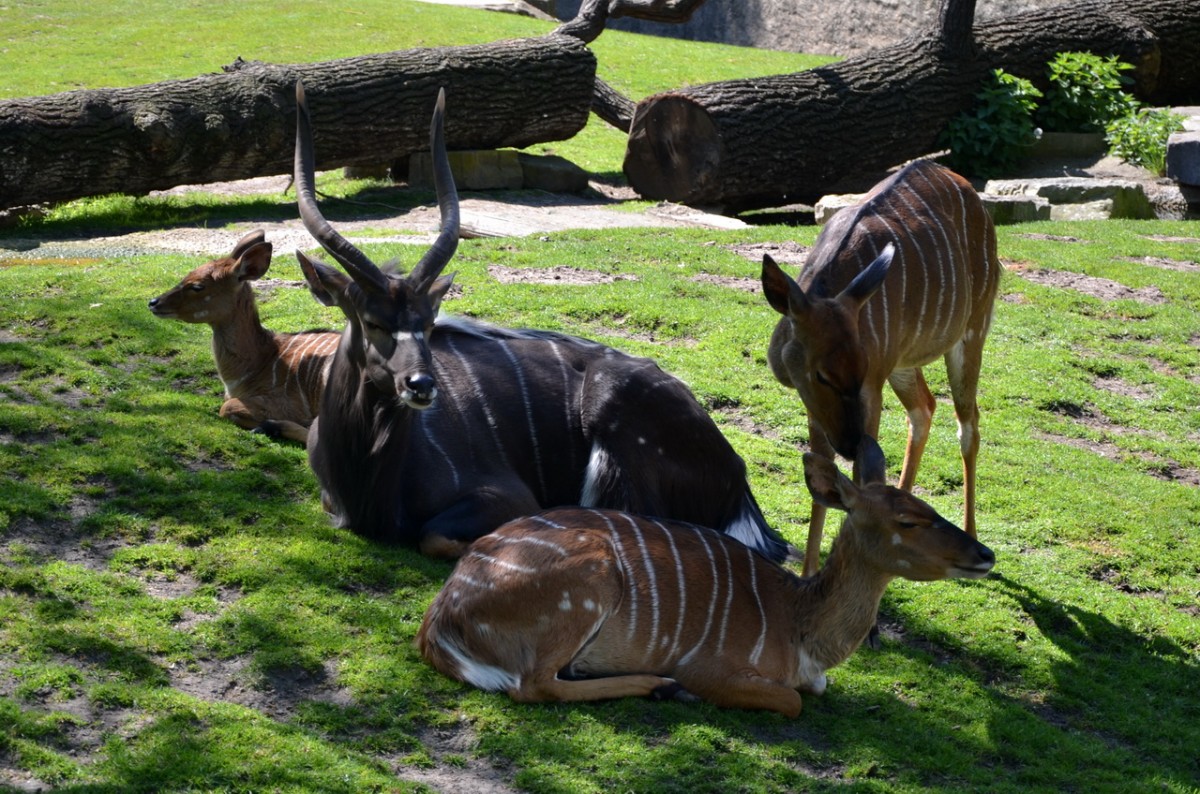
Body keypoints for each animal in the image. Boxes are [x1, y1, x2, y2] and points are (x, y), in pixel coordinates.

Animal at [295, 82, 792, 558]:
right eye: (372, 321)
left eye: (429, 324)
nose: (421, 386)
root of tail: (738, 483)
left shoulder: (506, 496)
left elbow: (435, 536)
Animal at [417, 438, 998, 719]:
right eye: (907, 521)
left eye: (927, 506)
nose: (984, 553)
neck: (799, 626)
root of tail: (439, 624)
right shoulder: (715, 667)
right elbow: (792, 701)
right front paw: (684, 690)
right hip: (587, 584)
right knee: (532, 686)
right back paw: (660, 687)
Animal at [758, 158, 1003, 575]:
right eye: (822, 375)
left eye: (857, 372)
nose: (849, 443)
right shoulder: (821, 408)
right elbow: (823, 481)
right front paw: (810, 572)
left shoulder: (872, 387)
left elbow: (857, 478)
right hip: (903, 365)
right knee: (924, 408)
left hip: (973, 332)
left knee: (968, 422)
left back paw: (970, 531)